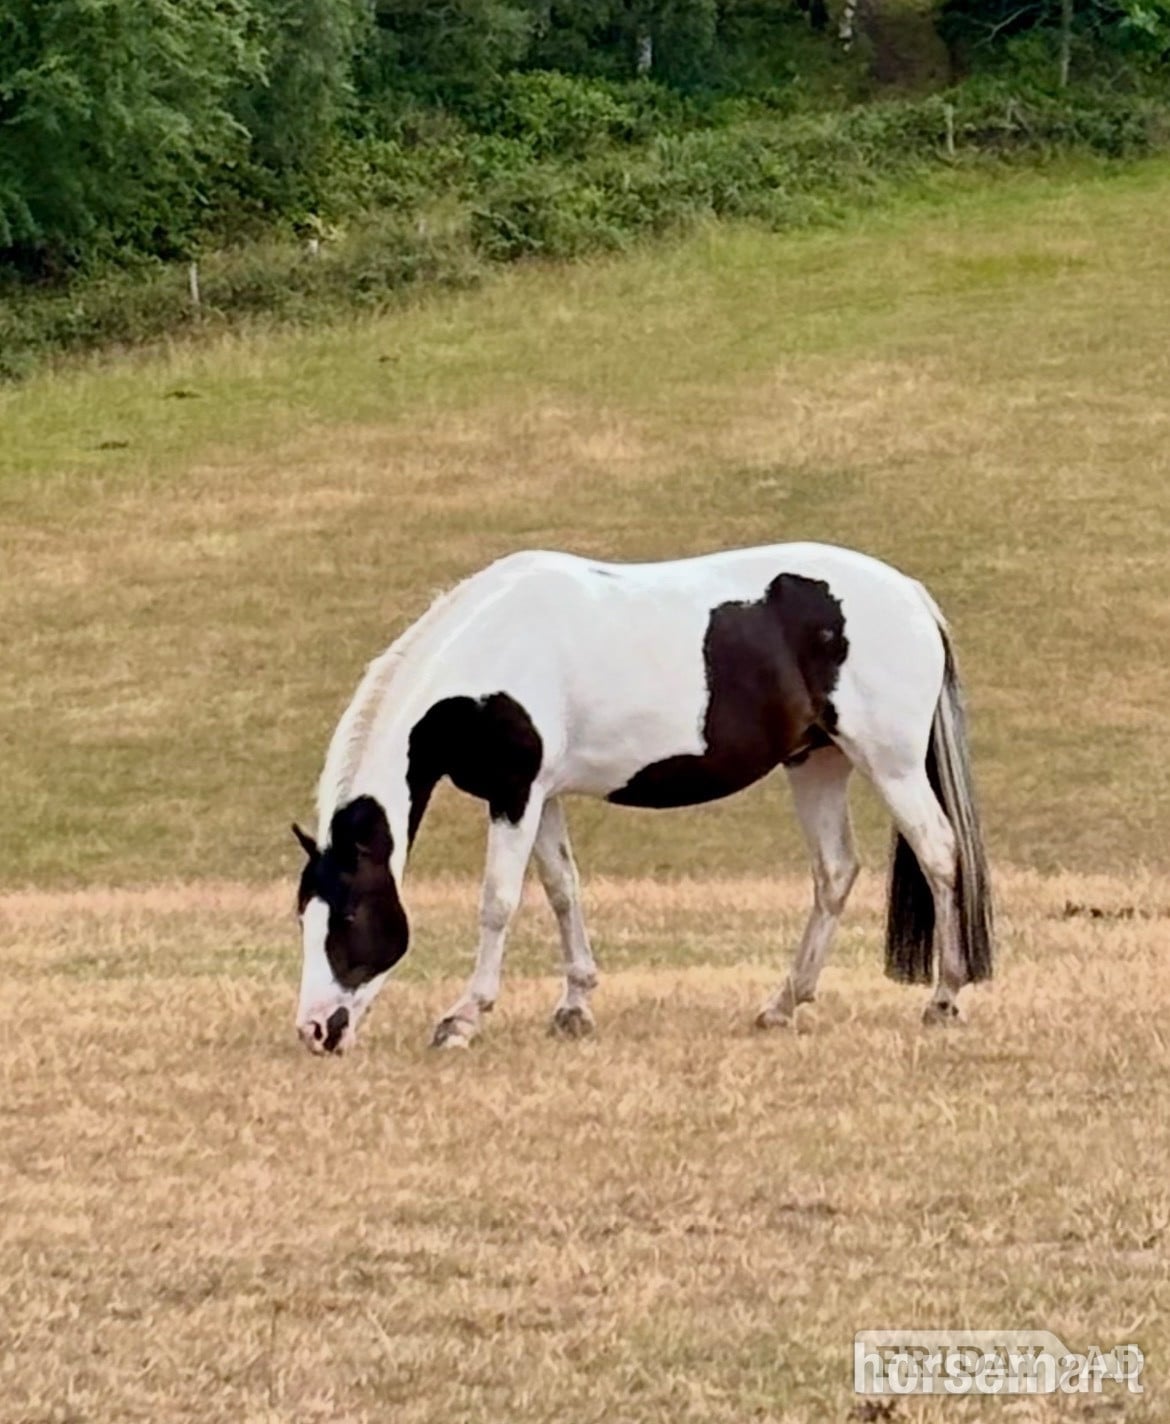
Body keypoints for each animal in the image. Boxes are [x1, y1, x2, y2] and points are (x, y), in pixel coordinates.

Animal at [291, 543, 993, 1055]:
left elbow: (498, 902)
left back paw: (944, 997)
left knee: (938, 853)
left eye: (350, 914)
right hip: (816, 763)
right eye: (305, 916)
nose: (316, 1029)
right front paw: (574, 1006)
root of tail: (911, 594)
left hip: (890, 764)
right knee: (836, 873)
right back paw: (782, 1004)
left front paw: (463, 1018)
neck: (492, 650)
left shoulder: (515, 795)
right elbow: (562, 890)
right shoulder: (539, 796)